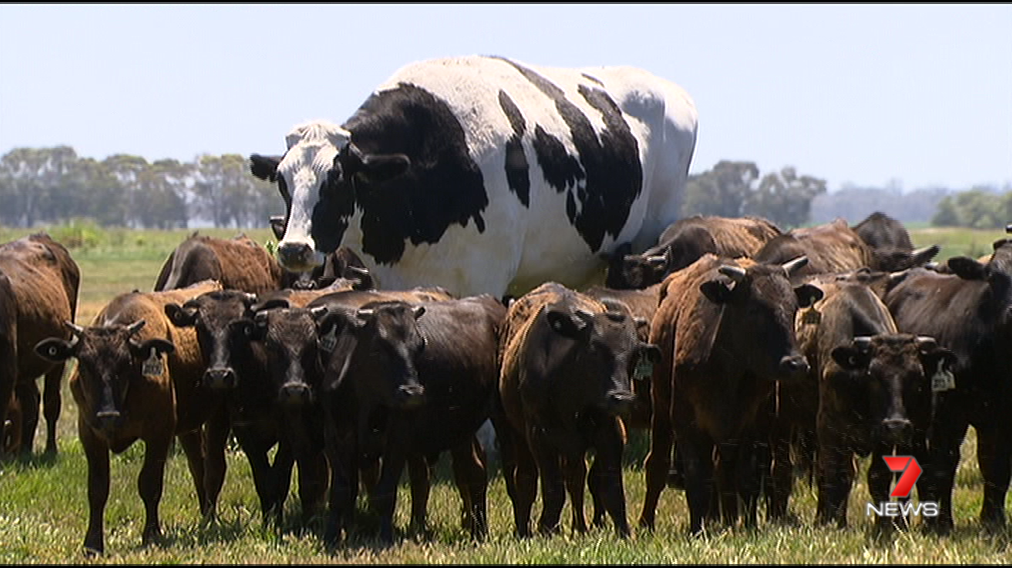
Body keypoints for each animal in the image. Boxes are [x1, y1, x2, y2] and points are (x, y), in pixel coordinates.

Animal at [0, 231, 79, 455]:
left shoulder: (7, 371)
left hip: (57, 357)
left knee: (50, 403)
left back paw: (49, 450)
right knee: (31, 402)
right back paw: (25, 450)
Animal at [35, 279, 221, 554]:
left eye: (126, 363)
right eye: (84, 363)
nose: (108, 414)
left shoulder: (159, 433)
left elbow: (150, 484)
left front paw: (152, 534)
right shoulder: (90, 434)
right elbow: (97, 489)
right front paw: (93, 544)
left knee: (211, 467)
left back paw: (211, 517)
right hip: (190, 427)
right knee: (198, 464)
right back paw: (205, 515)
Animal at [493, 281, 659, 534]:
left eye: (634, 356)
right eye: (594, 349)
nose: (621, 398)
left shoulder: (611, 432)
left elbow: (611, 489)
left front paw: (624, 532)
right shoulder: (539, 436)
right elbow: (552, 488)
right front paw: (546, 528)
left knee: (576, 477)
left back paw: (579, 527)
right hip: (518, 433)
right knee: (526, 479)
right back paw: (524, 529)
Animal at [639, 255, 821, 534]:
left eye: (793, 309)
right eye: (754, 310)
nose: (796, 364)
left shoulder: (752, 425)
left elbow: (746, 476)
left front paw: (749, 526)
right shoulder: (687, 423)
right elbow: (697, 476)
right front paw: (697, 529)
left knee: (724, 471)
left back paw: (726, 519)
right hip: (660, 407)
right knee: (657, 465)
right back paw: (647, 523)